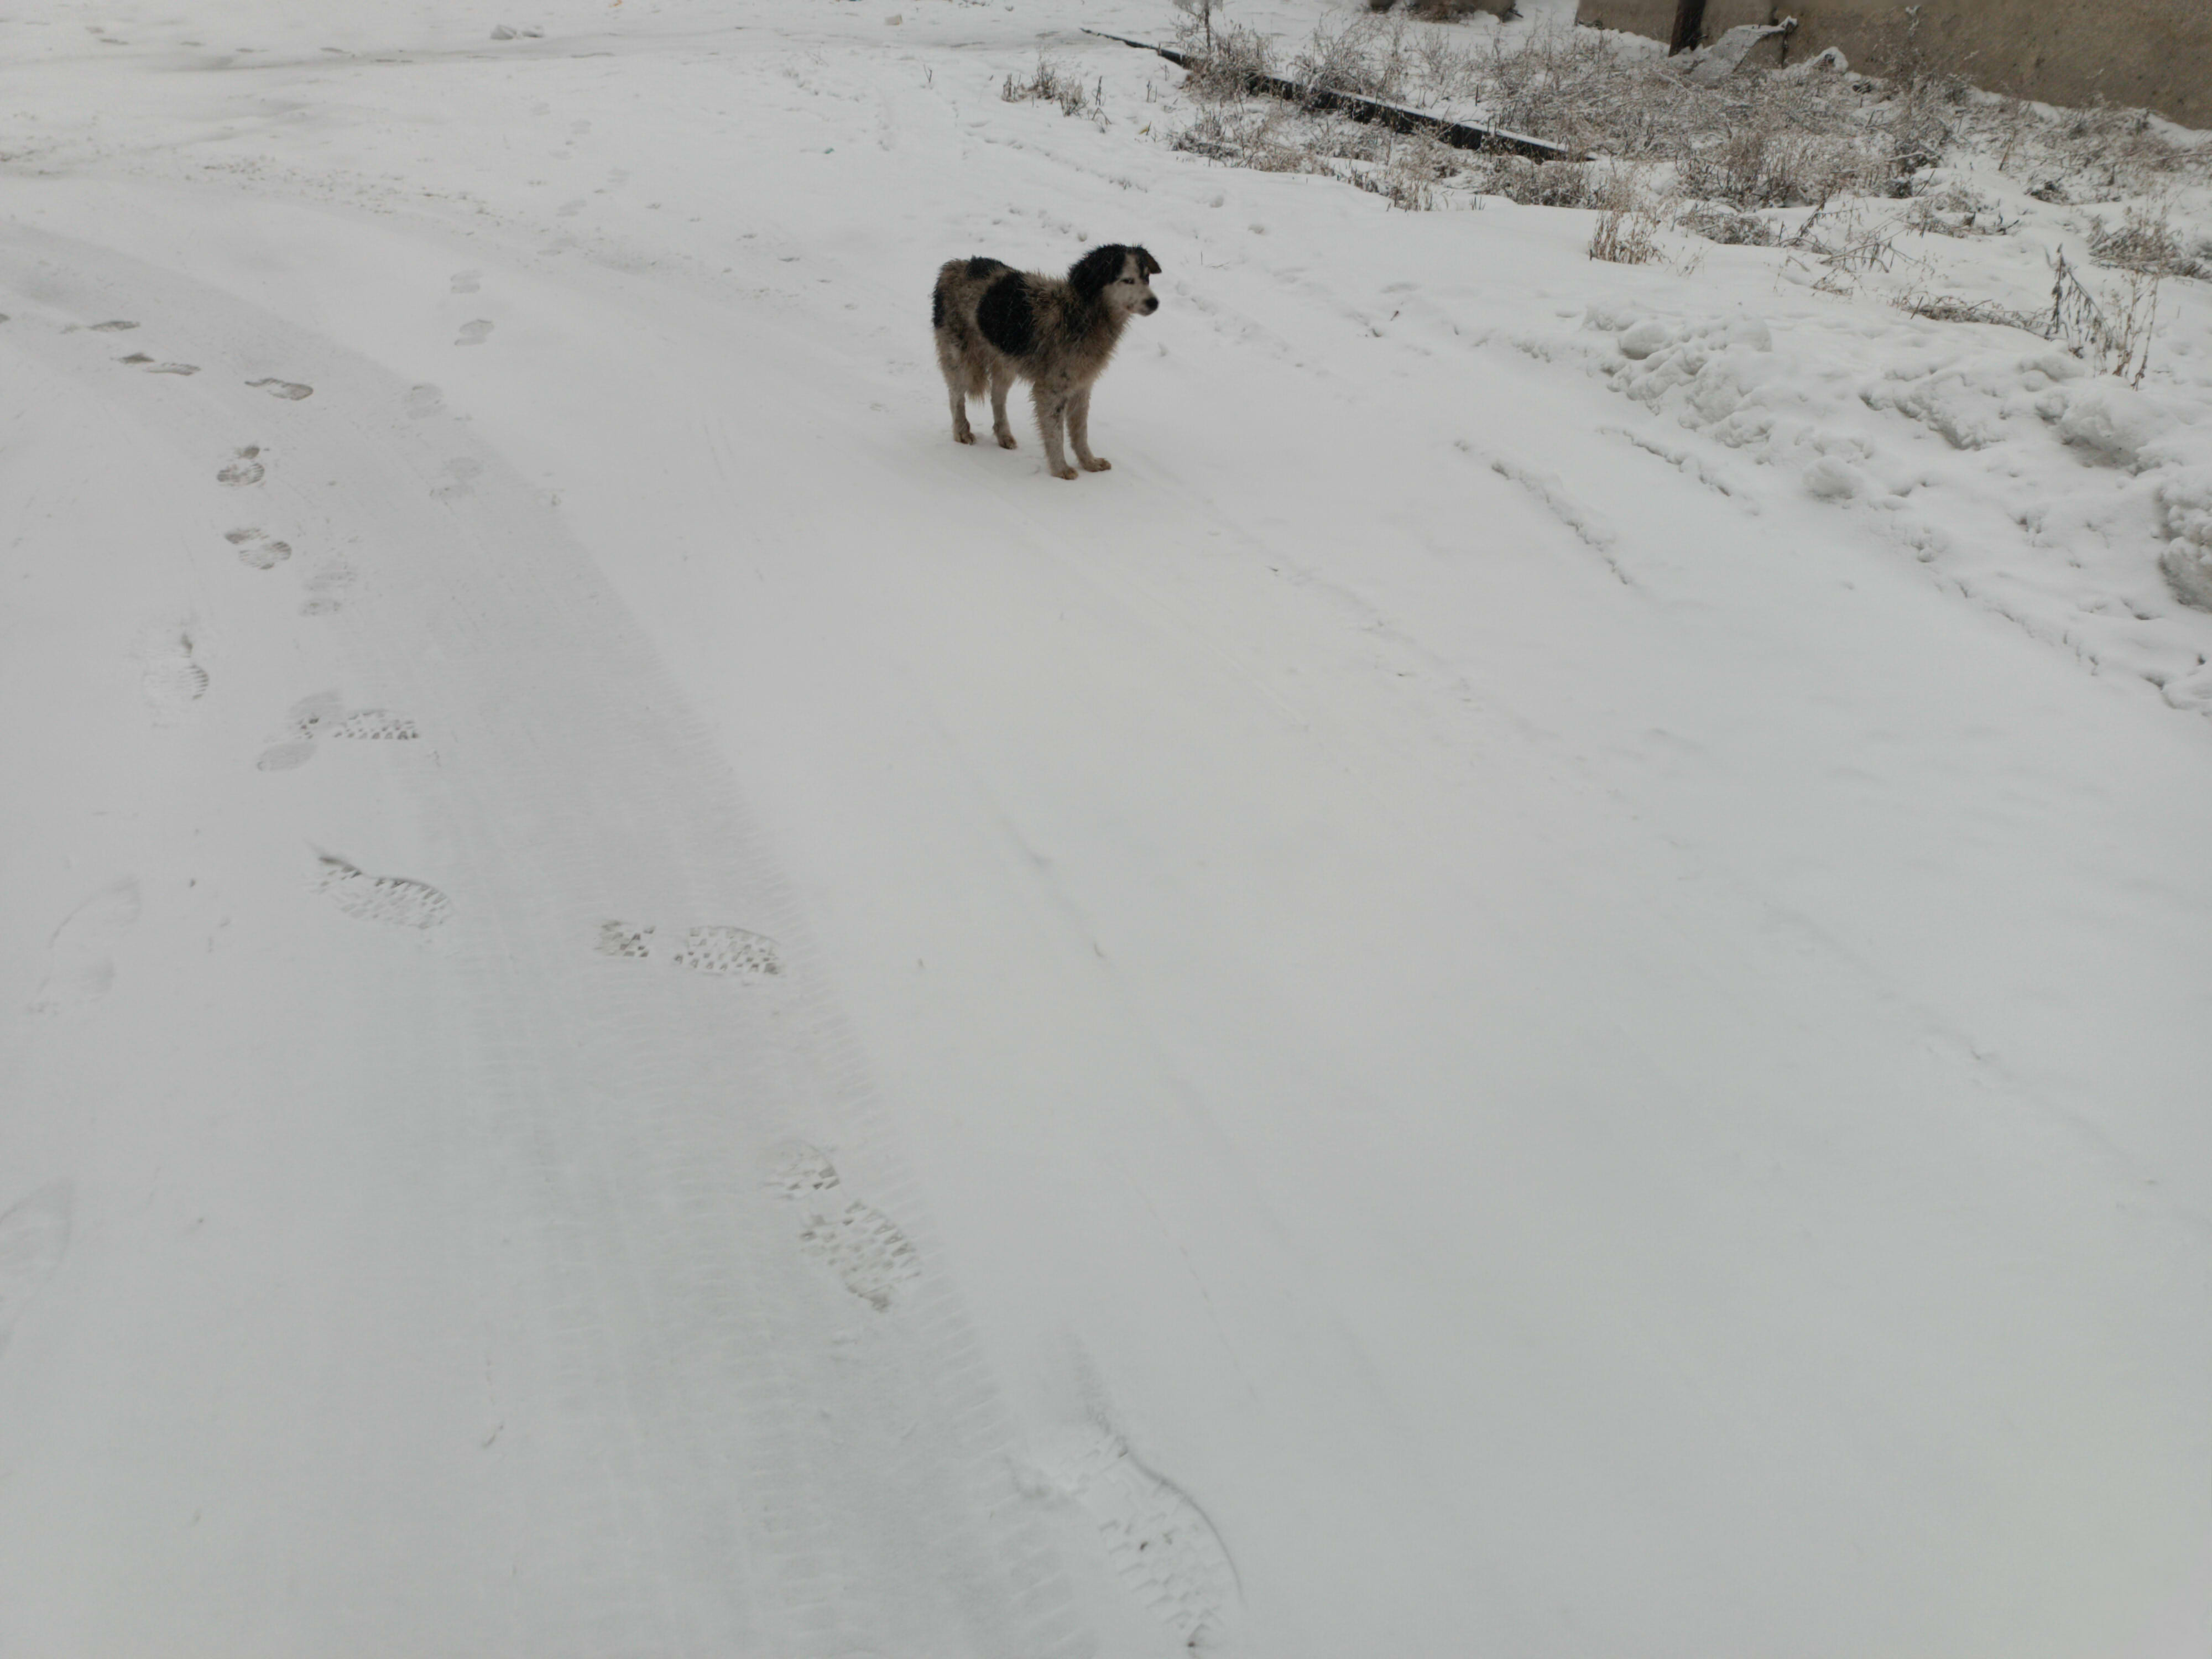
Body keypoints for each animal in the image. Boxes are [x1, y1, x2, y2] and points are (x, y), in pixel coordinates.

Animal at [932, 243, 1162, 480]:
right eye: (1127, 280)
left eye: (1146, 278)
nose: (1155, 303)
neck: (1080, 315)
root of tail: (956, 265)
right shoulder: (1051, 391)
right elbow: (1056, 435)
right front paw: (1061, 469)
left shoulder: (1082, 388)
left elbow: (1080, 434)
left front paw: (1089, 463)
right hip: (959, 358)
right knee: (956, 397)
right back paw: (962, 431)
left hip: (1004, 365)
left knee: (997, 399)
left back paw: (1004, 435)